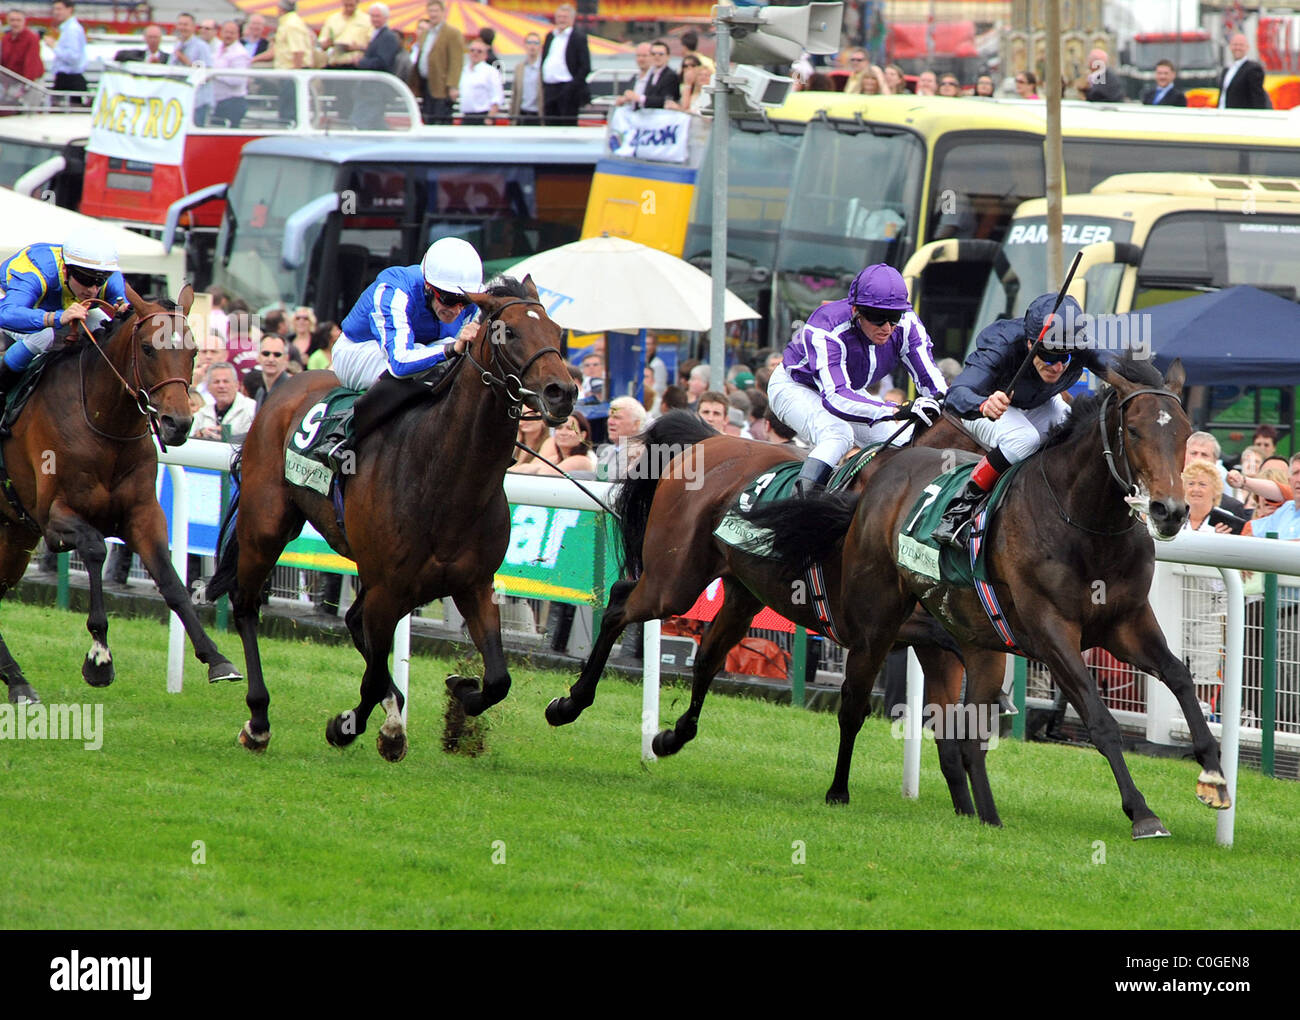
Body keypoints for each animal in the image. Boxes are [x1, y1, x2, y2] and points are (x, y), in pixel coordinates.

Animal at [0, 281, 239, 706]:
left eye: (193, 351)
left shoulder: (143, 513)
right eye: (147, 348)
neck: (103, 424)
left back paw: (17, 681)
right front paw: (99, 658)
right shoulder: (53, 517)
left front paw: (216, 659)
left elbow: (171, 581)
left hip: (13, 535)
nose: (178, 424)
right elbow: (97, 548)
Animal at [205, 274, 577, 758]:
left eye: (556, 332)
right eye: (508, 332)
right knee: (247, 604)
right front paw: (350, 726)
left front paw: (458, 692)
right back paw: (259, 719)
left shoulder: (473, 584)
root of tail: (283, 388)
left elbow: (497, 679)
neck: (446, 477)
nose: (562, 392)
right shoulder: (387, 587)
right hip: (266, 525)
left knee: (351, 622)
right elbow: (370, 679)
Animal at [546, 410, 993, 816]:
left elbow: (948, 718)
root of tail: (712, 439)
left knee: (707, 657)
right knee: (620, 604)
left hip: (741, 592)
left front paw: (969, 806)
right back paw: (569, 705)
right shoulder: (874, 624)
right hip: (673, 582)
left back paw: (670, 737)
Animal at [754, 356, 1227, 836]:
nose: (1170, 511)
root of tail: (883, 478)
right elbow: (1100, 718)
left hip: (977, 641)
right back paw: (840, 791)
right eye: (1133, 430)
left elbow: (1180, 676)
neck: (1086, 524)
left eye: (1186, 433)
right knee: (858, 703)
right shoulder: (1052, 632)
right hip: (877, 620)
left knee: (965, 736)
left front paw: (1213, 773)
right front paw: (1143, 812)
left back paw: (984, 815)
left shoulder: (1127, 621)